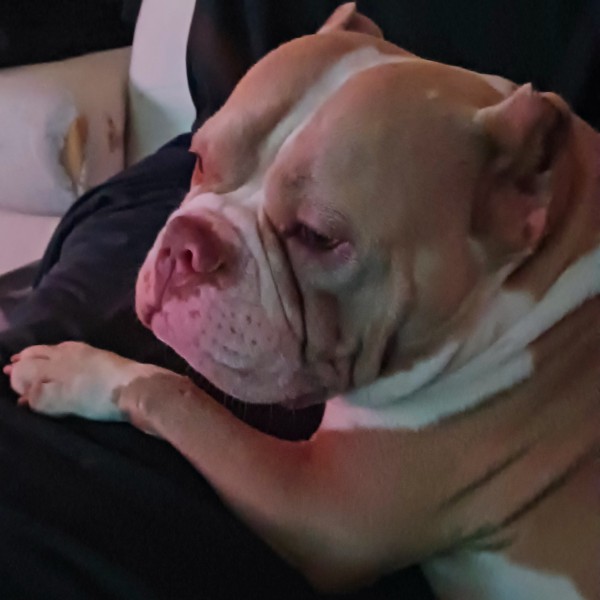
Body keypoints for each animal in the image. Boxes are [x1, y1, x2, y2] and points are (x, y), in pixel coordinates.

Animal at [5, 4, 600, 598]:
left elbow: (178, 394)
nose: (185, 244)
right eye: (199, 159)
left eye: (319, 237)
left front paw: (75, 370)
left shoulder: (320, 510)